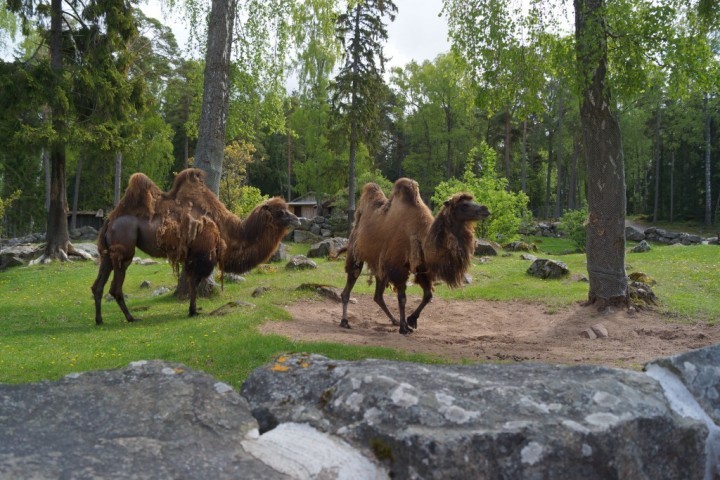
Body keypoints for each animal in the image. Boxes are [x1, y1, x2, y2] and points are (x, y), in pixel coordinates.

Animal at [91, 167, 300, 324]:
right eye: (281, 212)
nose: (298, 220)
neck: (226, 231)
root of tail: (109, 220)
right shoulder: (203, 255)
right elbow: (195, 282)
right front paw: (193, 311)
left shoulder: (192, 256)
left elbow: (192, 282)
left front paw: (193, 309)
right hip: (124, 248)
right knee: (115, 287)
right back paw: (130, 317)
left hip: (107, 252)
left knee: (97, 285)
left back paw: (100, 320)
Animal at [338, 177, 490, 334]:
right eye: (464, 205)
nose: (485, 209)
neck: (422, 238)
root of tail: (356, 226)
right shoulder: (398, 267)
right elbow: (402, 298)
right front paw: (404, 327)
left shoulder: (422, 268)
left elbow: (428, 296)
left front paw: (410, 320)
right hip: (356, 255)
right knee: (349, 286)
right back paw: (344, 321)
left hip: (380, 265)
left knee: (378, 296)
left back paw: (394, 320)